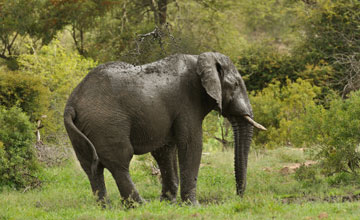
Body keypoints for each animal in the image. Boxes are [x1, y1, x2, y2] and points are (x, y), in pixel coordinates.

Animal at [63, 52, 266, 206]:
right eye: (236, 85)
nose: (238, 196)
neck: (201, 59)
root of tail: (72, 103)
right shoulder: (188, 103)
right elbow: (191, 144)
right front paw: (192, 205)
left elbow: (164, 150)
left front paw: (168, 202)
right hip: (107, 123)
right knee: (119, 161)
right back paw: (140, 205)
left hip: (84, 128)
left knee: (92, 166)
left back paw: (105, 207)